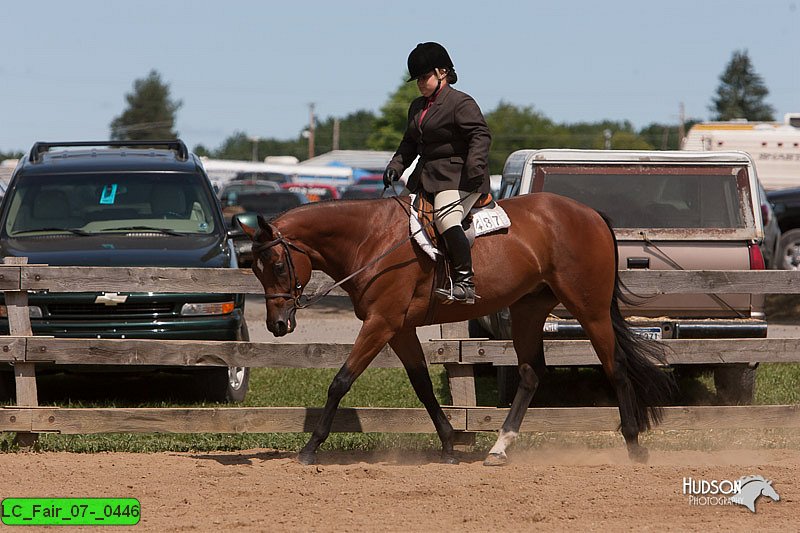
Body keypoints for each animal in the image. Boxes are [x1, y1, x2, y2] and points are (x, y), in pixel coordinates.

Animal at [242, 193, 676, 464]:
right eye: (254, 269)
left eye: (278, 265)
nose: (277, 324)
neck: (371, 239)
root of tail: (590, 214)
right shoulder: (399, 328)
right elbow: (421, 385)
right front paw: (450, 443)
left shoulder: (381, 322)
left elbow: (340, 381)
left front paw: (310, 447)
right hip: (528, 310)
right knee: (531, 373)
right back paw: (500, 448)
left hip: (590, 309)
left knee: (616, 366)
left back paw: (634, 445)